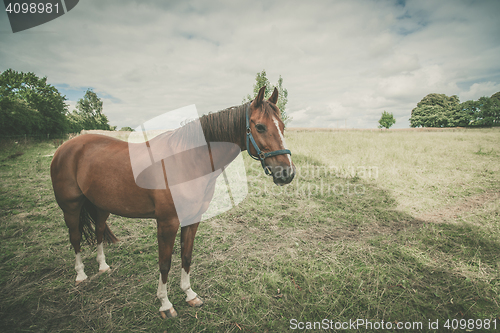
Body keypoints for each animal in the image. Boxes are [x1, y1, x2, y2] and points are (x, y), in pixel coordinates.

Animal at [49, 85, 294, 316]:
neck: (187, 161)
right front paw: (165, 304)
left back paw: (102, 266)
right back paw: (81, 275)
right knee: (75, 237)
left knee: (99, 232)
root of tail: (66, 146)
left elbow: (186, 257)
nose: (287, 173)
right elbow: (165, 263)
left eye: (282, 126)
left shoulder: (192, 220)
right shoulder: (167, 223)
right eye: (260, 127)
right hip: (71, 207)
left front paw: (190, 295)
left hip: (101, 206)